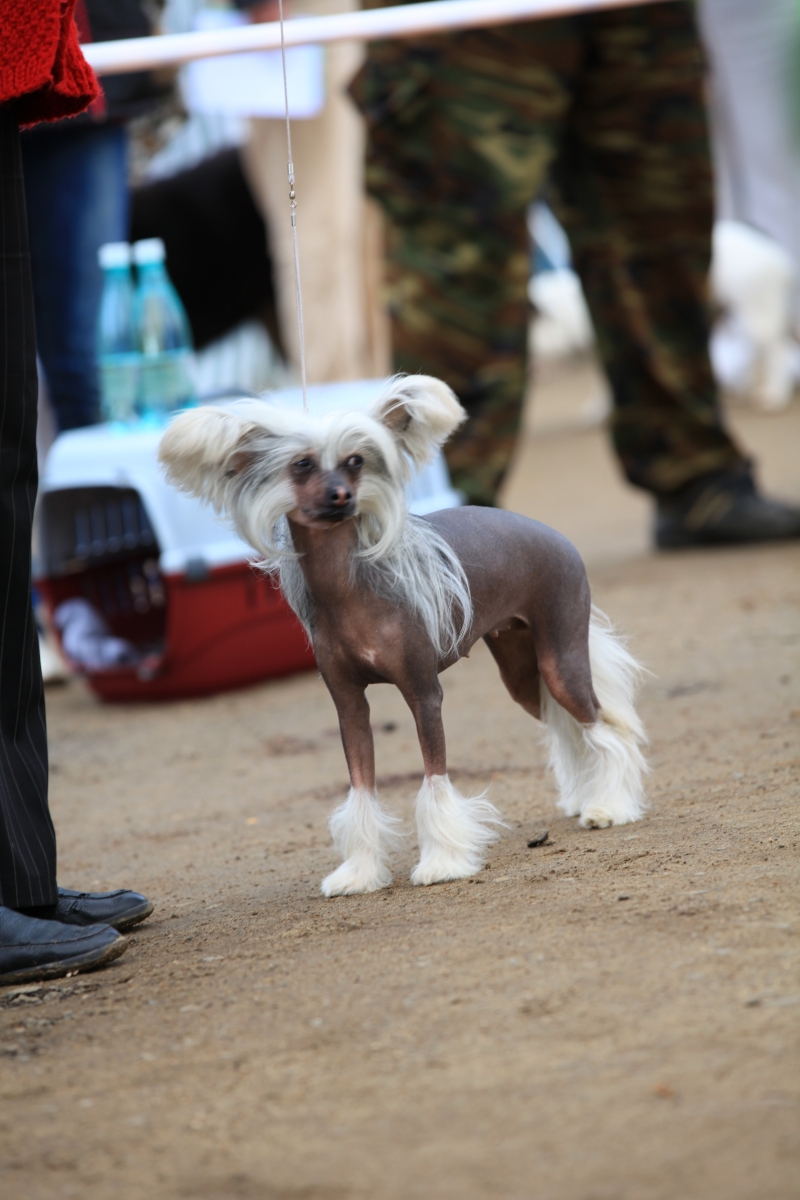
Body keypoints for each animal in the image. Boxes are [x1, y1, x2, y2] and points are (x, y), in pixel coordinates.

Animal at [158, 379, 652, 897]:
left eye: (355, 460)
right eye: (302, 464)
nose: (341, 496)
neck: (351, 590)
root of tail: (557, 536)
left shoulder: (423, 694)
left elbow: (434, 782)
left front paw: (443, 862)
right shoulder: (349, 705)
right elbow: (361, 789)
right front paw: (358, 873)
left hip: (560, 659)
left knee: (603, 728)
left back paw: (609, 806)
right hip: (522, 671)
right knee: (569, 728)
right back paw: (586, 798)